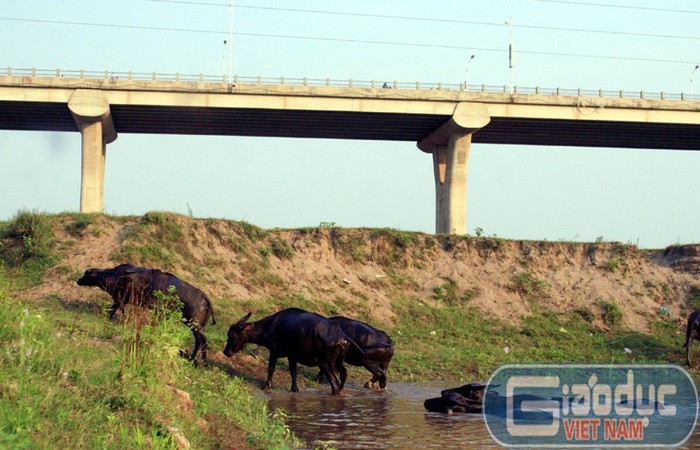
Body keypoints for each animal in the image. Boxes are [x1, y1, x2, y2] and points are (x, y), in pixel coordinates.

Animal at [76, 264, 216, 362]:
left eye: (86, 274)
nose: (78, 281)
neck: (116, 276)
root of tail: (203, 296)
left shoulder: (119, 299)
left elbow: (116, 312)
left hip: (194, 324)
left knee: (202, 340)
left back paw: (201, 360)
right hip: (197, 326)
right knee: (199, 341)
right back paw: (194, 358)